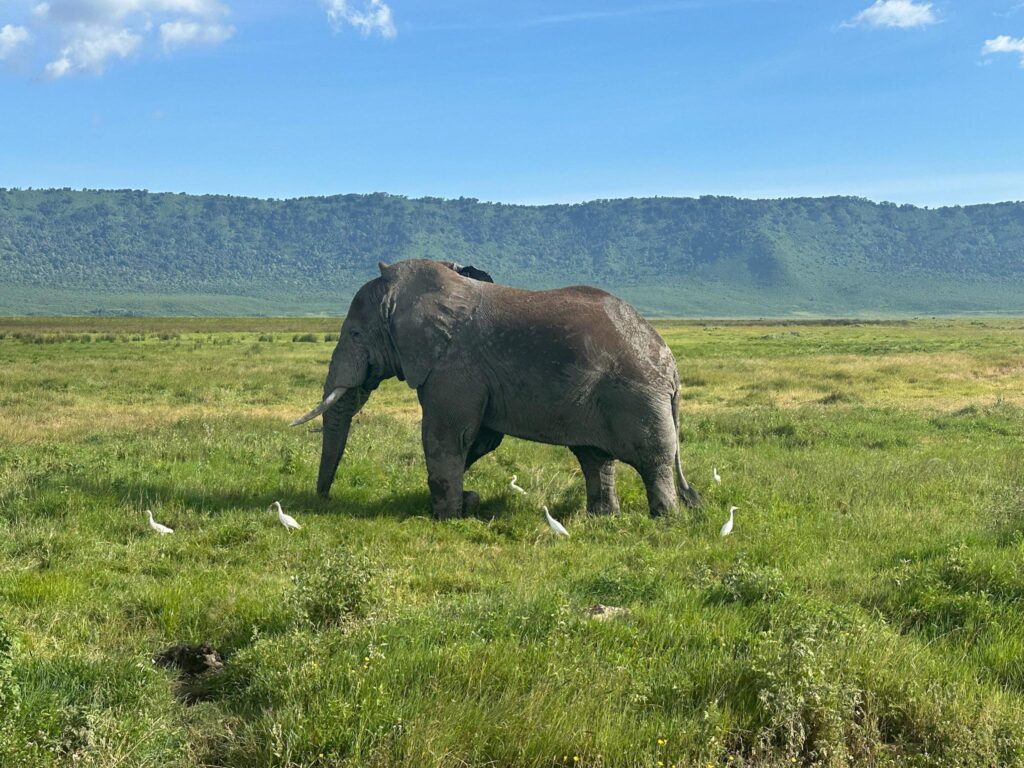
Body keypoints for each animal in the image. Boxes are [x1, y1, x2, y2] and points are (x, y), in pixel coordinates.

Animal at [291, 259, 702, 520]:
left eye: (354, 334)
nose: (323, 500)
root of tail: (670, 364)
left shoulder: (453, 367)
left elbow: (446, 436)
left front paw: (447, 517)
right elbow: (479, 440)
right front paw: (465, 503)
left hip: (635, 395)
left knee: (653, 458)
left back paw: (664, 519)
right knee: (595, 458)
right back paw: (602, 519)